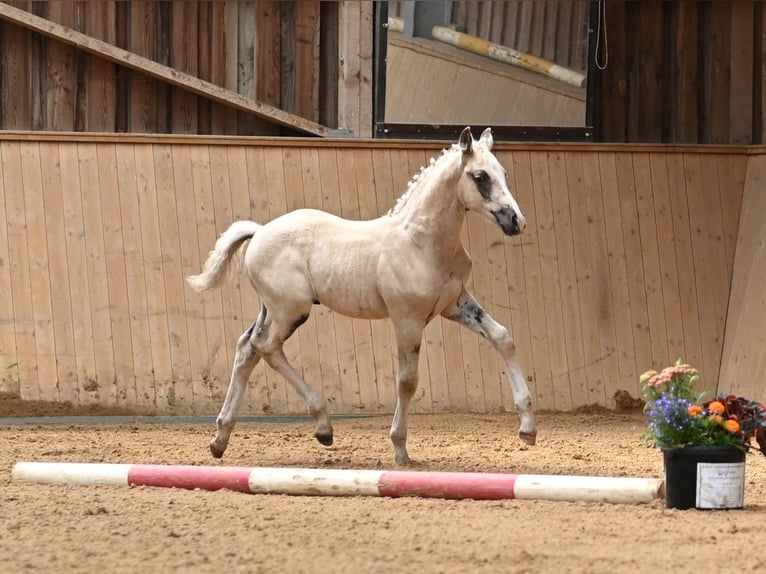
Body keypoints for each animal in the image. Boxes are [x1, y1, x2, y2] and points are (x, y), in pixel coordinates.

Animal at [188, 127, 536, 468]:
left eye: (503, 173)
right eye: (480, 176)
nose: (517, 221)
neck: (421, 242)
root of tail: (259, 231)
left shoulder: (455, 304)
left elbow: (502, 337)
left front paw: (528, 429)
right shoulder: (407, 320)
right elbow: (407, 380)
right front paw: (400, 449)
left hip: (271, 310)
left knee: (247, 348)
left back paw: (220, 439)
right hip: (290, 310)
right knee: (266, 347)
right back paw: (323, 426)